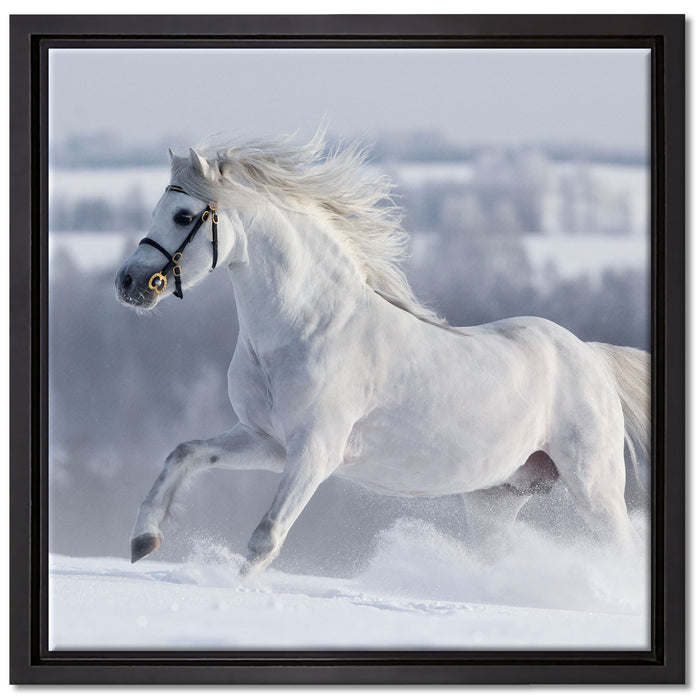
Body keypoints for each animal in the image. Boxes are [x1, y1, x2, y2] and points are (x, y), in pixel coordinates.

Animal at [115, 133, 650, 578]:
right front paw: (143, 541)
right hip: (496, 499)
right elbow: (183, 453)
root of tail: (591, 358)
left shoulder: (316, 451)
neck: (306, 329)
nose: (129, 282)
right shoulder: (267, 441)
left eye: (184, 216)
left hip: (594, 489)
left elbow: (266, 537)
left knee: (620, 550)